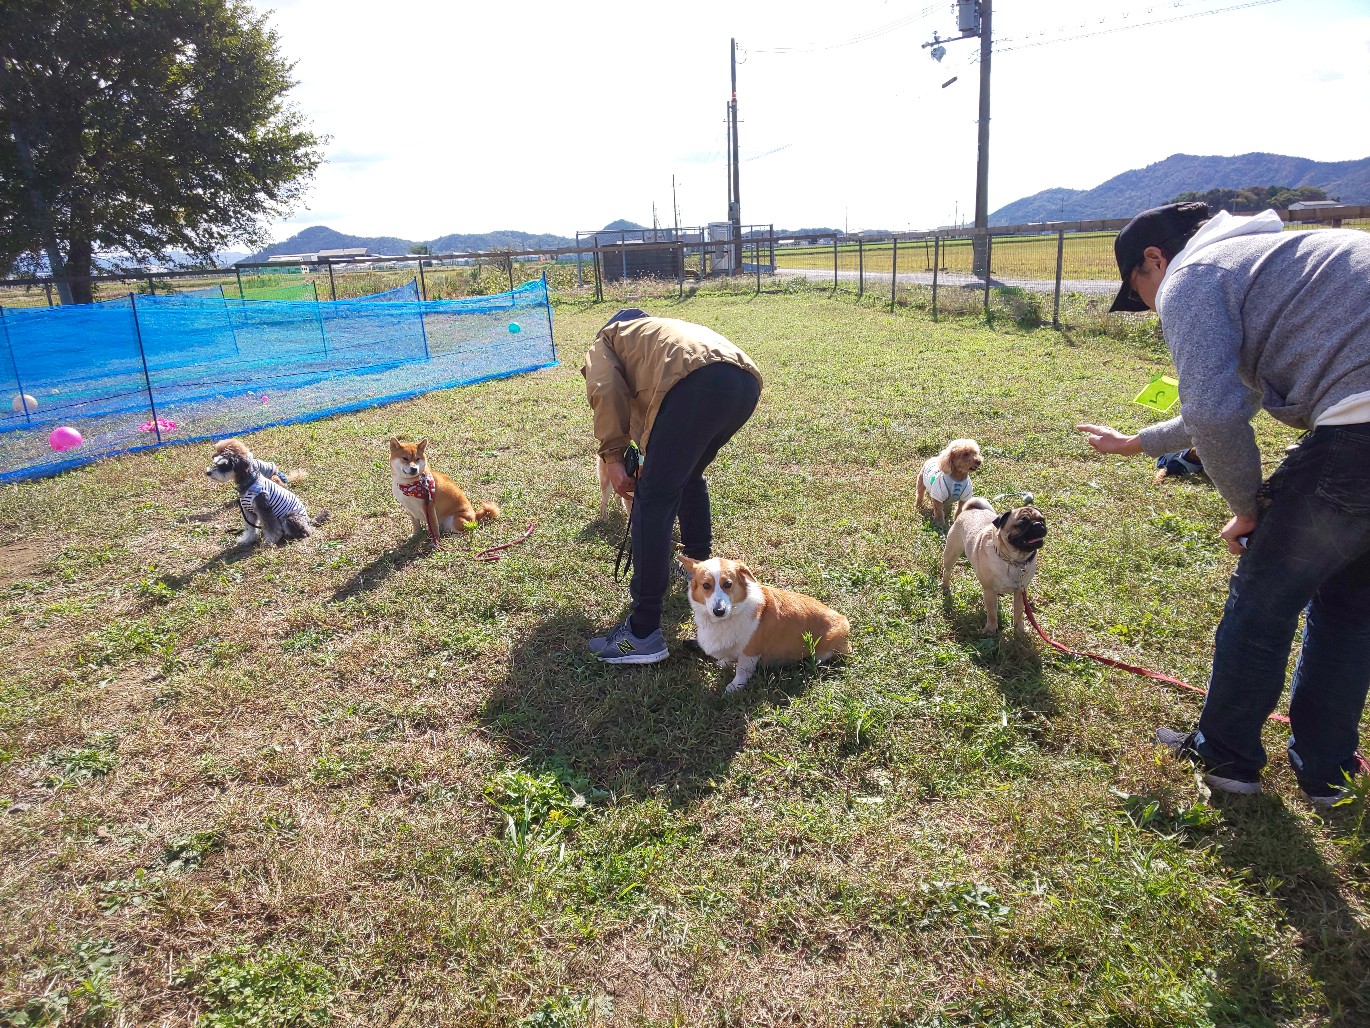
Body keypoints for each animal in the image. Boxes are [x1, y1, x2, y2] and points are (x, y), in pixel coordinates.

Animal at [679, 556, 849, 693]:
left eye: (728, 584)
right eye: (706, 585)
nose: (719, 611)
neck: (727, 618)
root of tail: (844, 620)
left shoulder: (750, 651)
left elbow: (741, 671)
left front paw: (734, 687)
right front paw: (724, 663)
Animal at [942, 498, 1046, 635]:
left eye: (1043, 520)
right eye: (1022, 524)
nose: (1038, 525)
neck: (1014, 561)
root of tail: (971, 508)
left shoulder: (1020, 591)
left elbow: (1018, 612)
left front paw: (1019, 630)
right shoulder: (989, 590)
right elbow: (991, 612)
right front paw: (991, 630)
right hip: (951, 554)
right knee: (947, 571)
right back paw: (945, 587)